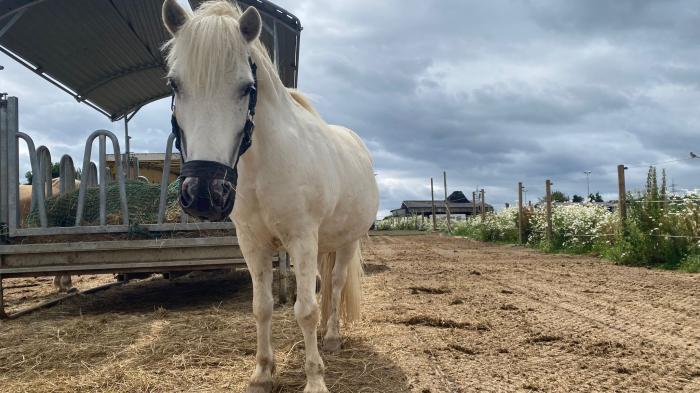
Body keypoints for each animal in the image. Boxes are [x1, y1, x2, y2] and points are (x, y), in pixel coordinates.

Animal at [162, 1, 380, 390]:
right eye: (174, 83)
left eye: (247, 87)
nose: (203, 193)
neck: (265, 163)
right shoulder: (252, 243)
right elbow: (262, 307)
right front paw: (263, 372)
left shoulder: (301, 238)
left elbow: (305, 310)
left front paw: (315, 379)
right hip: (323, 244)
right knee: (323, 287)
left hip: (347, 241)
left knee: (336, 284)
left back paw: (332, 338)